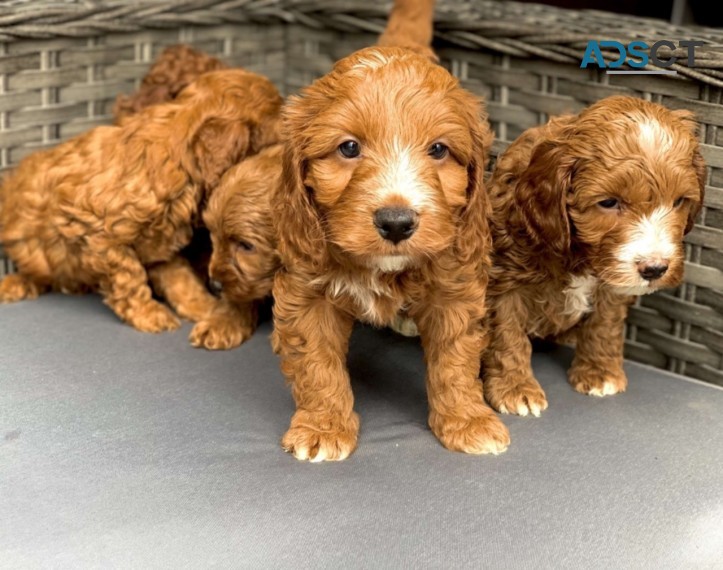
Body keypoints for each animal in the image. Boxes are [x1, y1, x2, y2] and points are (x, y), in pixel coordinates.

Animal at [272, 0, 510, 462]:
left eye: (438, 149)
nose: (397, 222)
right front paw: (323, 426)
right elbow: (317, 364)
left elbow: (455, 362)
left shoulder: (455, 287)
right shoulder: (306, 290)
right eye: (349, 147)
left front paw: (467, 420)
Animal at [484, 95, 704, 414]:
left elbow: (604, 325)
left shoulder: (613, 285)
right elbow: (507, 335)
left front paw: (600, 373)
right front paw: (515, 389)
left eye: (679, 202)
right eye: (609, 203)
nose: (655, 269)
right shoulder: (502, 281)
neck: (578, 257)